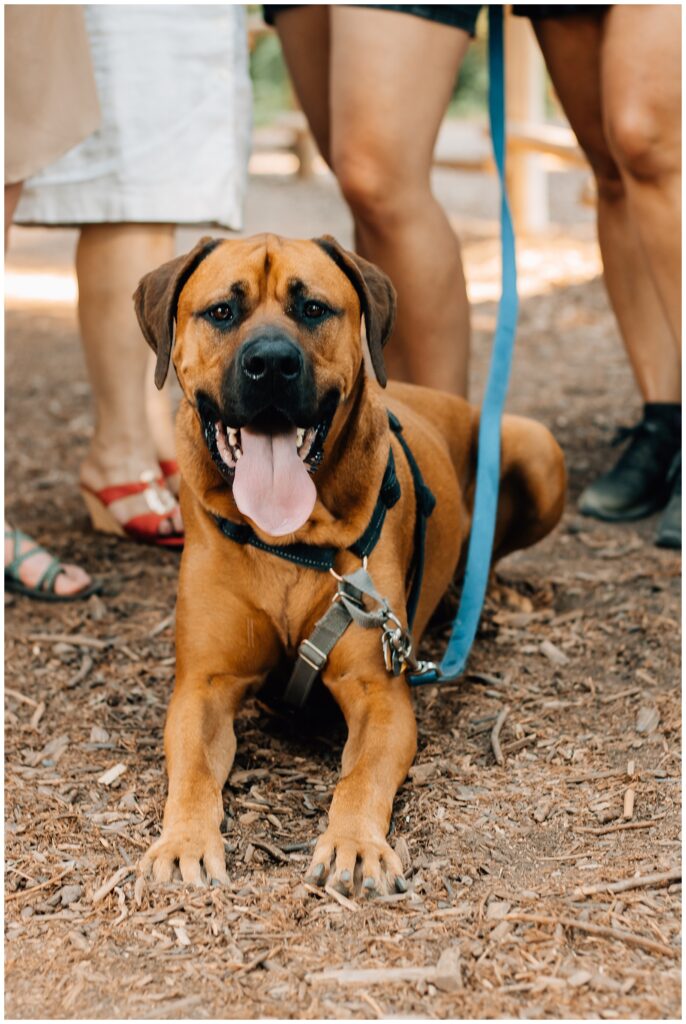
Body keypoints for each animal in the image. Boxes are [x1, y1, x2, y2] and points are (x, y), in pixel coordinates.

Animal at [136, 234, 569, 897]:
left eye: (313, 309)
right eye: (222, 312)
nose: (270, 363)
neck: (288, 541)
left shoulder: (378, 695)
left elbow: (361, 776)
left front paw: (356, 844)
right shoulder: (202, 686)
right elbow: (190, 773)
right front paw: (183, 841)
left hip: (533, 444)